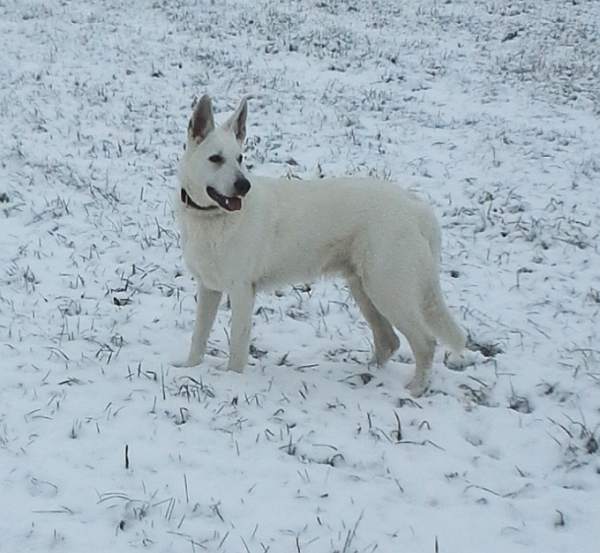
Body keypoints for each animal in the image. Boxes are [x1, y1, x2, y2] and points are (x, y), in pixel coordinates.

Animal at [173, 96, 464, 396]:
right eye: (216, 159)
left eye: (240, 158)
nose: (244, 185)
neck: (212, 218)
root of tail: (417, 208)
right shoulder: (208, 288)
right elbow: (198, 337)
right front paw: (190, 369)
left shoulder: (242, 290)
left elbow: (237, 348)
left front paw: (233, 380)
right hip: (364, 288)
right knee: (388, 340)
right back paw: (367, 375)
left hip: (388, 289)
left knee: (425, 342)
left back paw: (415, 389)